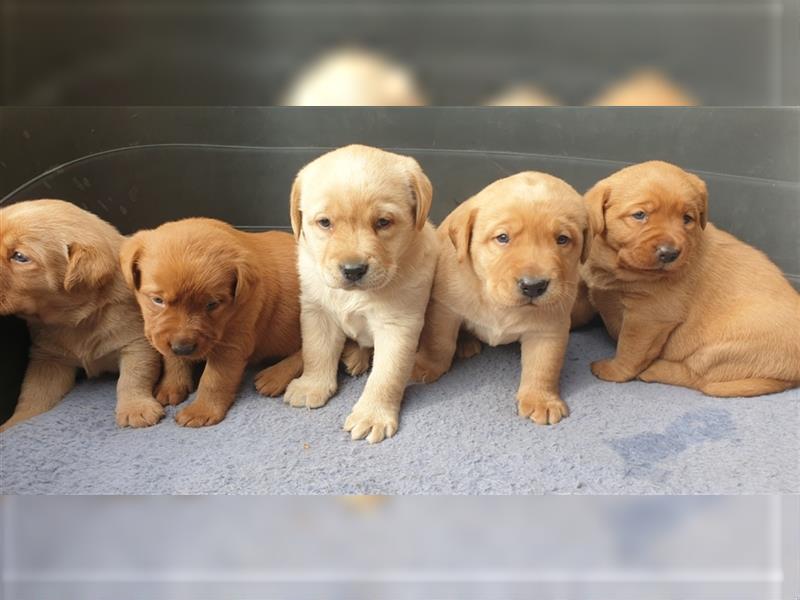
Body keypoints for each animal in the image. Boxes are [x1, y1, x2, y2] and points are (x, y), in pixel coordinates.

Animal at [0, 202, 170, 432]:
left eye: (19, 256)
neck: (74, 322)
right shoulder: (48, 359)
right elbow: (34, 395)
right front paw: (15, 424)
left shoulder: (136, 342)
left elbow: (133, 377)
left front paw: (136, 408)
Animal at [120, 219, 304, 426]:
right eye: (157, 300)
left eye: (212, 304)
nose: (183, 349)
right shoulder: (165, 335)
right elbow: (171, 359)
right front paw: (171, 386)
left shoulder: (233, 342)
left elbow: (214, 379)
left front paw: (201, 410)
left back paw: (275, 376)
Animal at [282, 145, 438, 442]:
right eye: (325, 222)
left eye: (383, 222)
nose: (353, 270)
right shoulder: (316, 311)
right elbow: (316, 351)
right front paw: (311, 385)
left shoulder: (398, 325)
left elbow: (386, 375)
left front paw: (372, 415)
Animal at [416, 172, 592, 426]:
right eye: (502, 237)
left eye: (562, 239)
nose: (533, 286)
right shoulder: (445, 308)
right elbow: (438, 343)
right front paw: (426, 366)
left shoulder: (550, 325)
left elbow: (544, 364)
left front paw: (541, 399)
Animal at [580, 159, 800, 396]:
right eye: (639, 215)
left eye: (687, 219)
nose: (669, 254)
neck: (620, 266)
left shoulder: (648, 317)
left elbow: (630, 349)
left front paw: (613, 370)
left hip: (720, 350)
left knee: (697, 377)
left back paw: (655, 369)